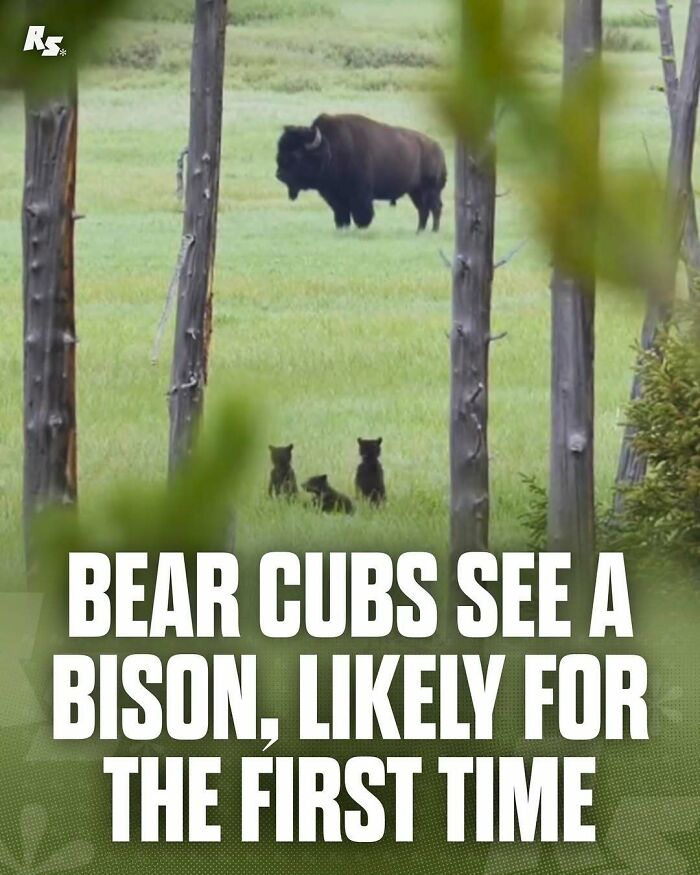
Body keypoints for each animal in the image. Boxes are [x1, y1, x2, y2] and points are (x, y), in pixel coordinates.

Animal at [276, 113, 447, 232]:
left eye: (296, 154)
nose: (279, 175)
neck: (330, 148)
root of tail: (438, 149)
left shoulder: (360, 195)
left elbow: (362, 215)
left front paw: (361, 228)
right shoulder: (335, 197)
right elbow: (341, 215)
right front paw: (342, 228)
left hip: (431, 190)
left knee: (435, 208)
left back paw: (433, 231)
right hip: (415, 191)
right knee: (423, 210)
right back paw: (419, 231)